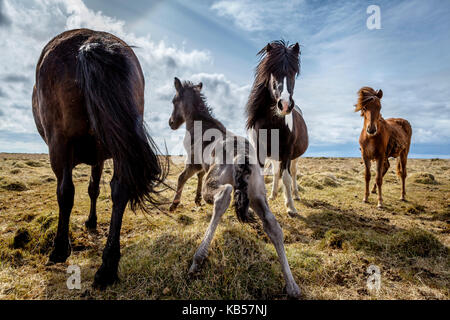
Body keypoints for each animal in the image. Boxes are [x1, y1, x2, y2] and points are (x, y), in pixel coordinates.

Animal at [33, 29, 167, 288]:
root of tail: (91, 41)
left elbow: (73, 192)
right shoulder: (99, 157)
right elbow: (94, 189)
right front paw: (92, 221)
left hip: (59, 144)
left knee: (66, 192)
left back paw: (60, 249)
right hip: (120, 146)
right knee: (120, 190)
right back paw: (108, 266)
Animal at [170, 79, 302, 298]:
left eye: (174, 101)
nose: (171, 123)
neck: (201, 124)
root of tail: (243, 155)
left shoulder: (193, 163)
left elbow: (182, 178)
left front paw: (174, 204)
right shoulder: (201, 168)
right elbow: (194, 178)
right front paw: (194, 200)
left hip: (217, 186)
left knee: (222, 197)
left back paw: (198, 260)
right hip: (256, 195)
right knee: (272, 226)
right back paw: (292, 285)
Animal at [246, 40, 310, 215]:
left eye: (294, 72)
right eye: (272, 71)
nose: (285, 104)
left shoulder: (288, 152)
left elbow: (287, 178)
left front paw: (290, 207)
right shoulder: (260, 152)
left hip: (294, 157)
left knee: (293, 173)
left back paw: (296, 195)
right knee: (275, 173)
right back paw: (273, 195)